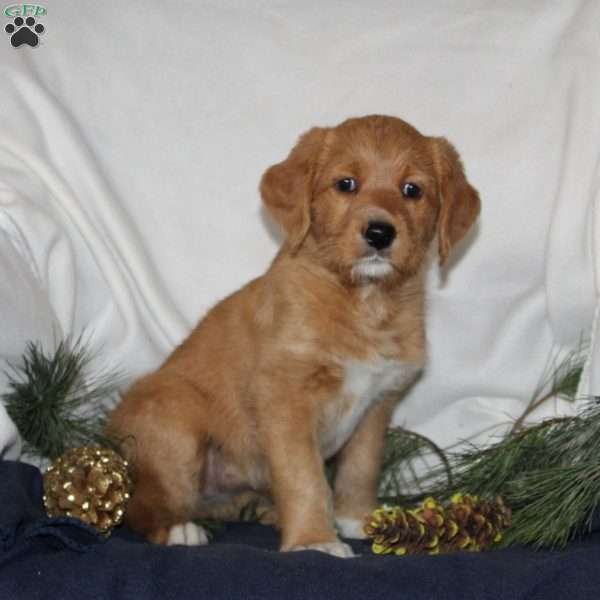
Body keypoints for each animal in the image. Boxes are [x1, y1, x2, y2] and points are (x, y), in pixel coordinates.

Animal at [108, 116, 480, 556]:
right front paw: (314, 540)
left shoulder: (377, 405)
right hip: (174, 422)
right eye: (346, 184)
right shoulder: (285, 397)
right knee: (142, 503)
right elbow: (305, 478)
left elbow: (361, 468)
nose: (379, 233)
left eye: (412, 190)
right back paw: (178, 528)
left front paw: (358, 519)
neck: (364, 304)